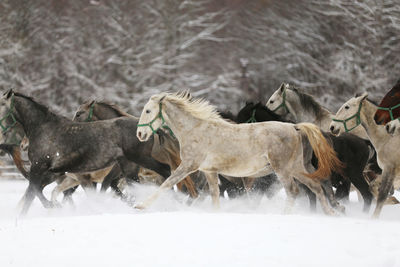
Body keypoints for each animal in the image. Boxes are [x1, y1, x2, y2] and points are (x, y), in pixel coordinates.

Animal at [0, 90, 170, 216]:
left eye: (1, 104)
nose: (22, 145)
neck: (44, 128)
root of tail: (144, 130)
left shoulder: (40, 167)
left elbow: (33, 191)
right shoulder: (52, 171)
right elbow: (35, 191)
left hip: (141, 159)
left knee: (166, 171)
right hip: (129, 167)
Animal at [136, 92, 342, 216]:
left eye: (148, 110)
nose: (140, 134)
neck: (194, 130)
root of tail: (295, 127)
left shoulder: (188, 165)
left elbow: (167, 183)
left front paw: (141, 206)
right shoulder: (210, 171)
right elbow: (214, 193)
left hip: (283, 169)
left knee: (294, 191)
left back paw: (285, 215)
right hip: (298, 168)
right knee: (316, 186)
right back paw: (331, 212)